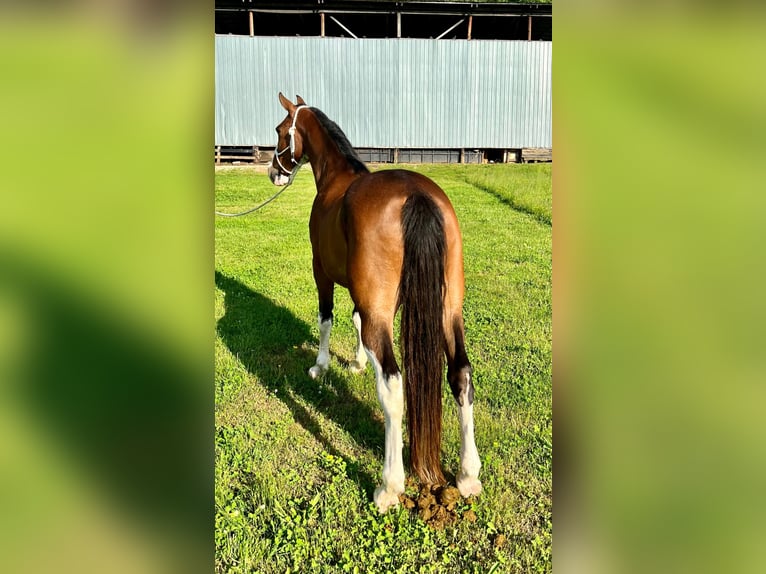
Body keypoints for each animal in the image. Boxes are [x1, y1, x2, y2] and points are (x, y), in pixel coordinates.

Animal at [266, 93, 480, 512]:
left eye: (282, 131)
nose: (274, 172)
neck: (337, 179)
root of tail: (416, 195)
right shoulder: (368, 300)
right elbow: (355, 321)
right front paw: (357, 363)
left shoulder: (322, 272)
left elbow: (327, 319)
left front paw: (321, 366)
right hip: (449, 312)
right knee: (460, 375)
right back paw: (467, 476)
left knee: (393, 386)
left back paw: (389, 486)